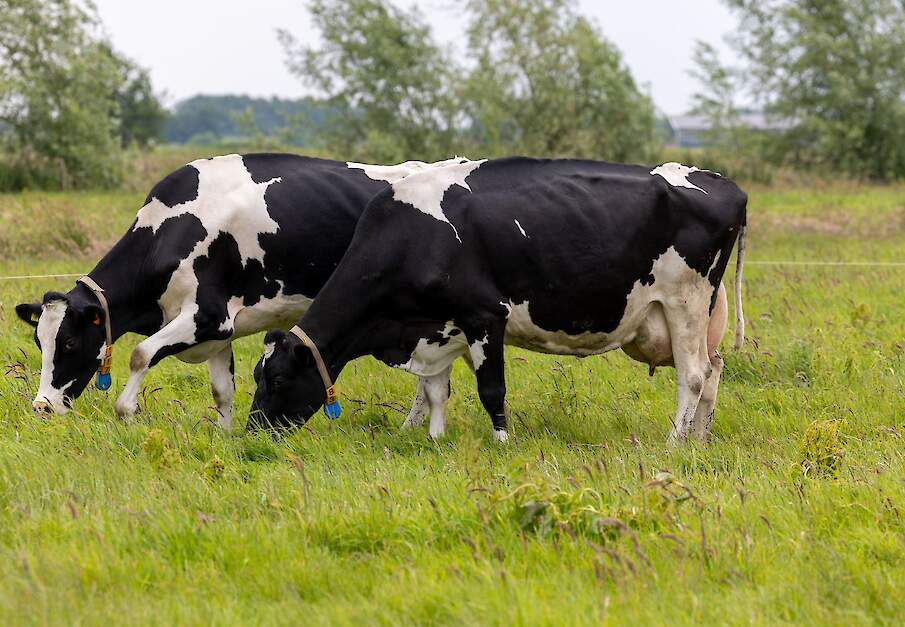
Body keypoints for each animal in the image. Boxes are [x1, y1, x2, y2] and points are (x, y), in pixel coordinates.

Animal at [15, 153, 470, 429]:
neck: (175, 228)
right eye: (40, 343)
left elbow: (141, 353)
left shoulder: (206, 316)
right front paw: (224, 435)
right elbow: (222, 390)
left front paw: (126, 413)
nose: (42, 405)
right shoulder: (219, 333)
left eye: (70, 343)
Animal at [250, 158, 747, 443]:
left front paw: (502, 443)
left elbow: (492, 389)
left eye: (277, 379)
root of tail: (722, 182)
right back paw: (700, 439)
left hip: (685, 301)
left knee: (694, 376)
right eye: (257, 375)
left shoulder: (485, 315)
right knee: (714, 369)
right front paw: (434, 440)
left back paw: (675, 443)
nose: (254, 432)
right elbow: (435, 389)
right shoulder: (435, 328)